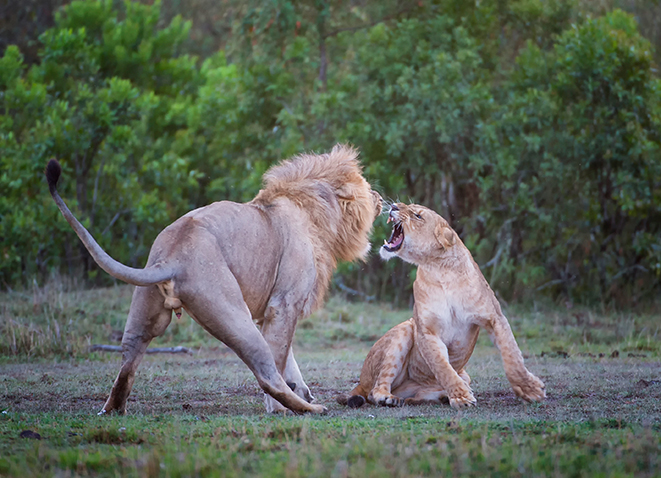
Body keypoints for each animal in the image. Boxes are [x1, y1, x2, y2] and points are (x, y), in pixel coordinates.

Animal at [46, 145, 382, 414]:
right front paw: (280, 406)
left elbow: (290, 360)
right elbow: (281, 356)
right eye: (367, 188)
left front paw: (301, 388)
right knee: (266, 372)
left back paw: (113, 410)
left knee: (128, 361)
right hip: (231, 309)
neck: (313, 210)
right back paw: (308, 409)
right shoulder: (284, 303)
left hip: (145, 311)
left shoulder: (272, 310)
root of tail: (173, 256)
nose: (380, 198)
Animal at [340, 204, 540, 408]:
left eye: (417, 215)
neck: (439, 268)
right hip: (404, 329)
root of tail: (361, 381)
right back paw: (388, 398)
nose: (394, 206)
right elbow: (443, 367)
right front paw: (461, 397)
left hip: (463, 374)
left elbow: (512, 355)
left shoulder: (494, 317)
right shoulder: (427, 331)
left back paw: (439, 396)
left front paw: (530, 390)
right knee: (375, 389)